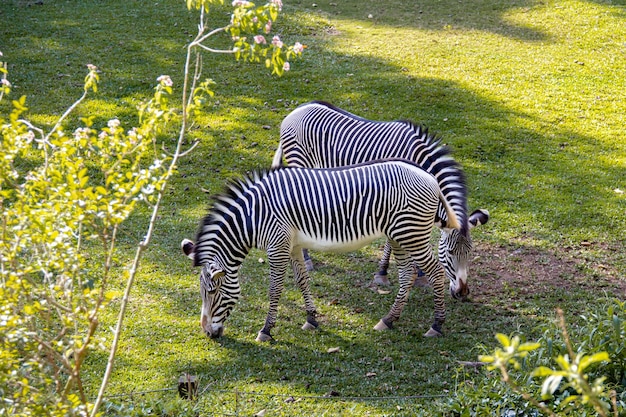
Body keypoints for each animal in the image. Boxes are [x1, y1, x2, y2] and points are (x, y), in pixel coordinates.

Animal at [180, 159, 458, 342]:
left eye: (212, 292)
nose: (207, 333)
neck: (254, 217)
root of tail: (431, 178)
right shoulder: (293, 245)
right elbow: (302, 280)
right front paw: (311, 319)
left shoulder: (277, 246)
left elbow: (275, 289)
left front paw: (266, 330)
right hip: (399, 236)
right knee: (407, 274)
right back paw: (389, 320)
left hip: (412, 234)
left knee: (436, 273)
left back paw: (437, 324)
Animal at [272, 101, 488, 300]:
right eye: (450, 252)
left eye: (470, 252)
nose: (462, 293)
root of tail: (297, 109)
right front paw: (383, 272)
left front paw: (420, 274)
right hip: (299, 162)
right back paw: (307, 258)